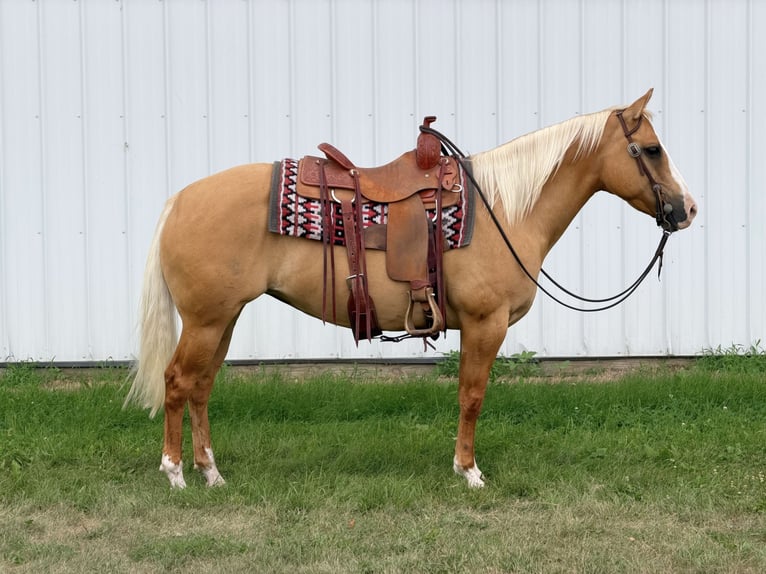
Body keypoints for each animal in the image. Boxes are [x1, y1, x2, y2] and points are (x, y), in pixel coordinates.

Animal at [125, 89, 697, 489]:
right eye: (652, 149)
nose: (688, 209)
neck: (505, 209)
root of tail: (179, 200)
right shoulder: (485, 324)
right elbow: (472, 395)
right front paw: (469, 472)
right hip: (206, 320)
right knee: (178, 382)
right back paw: (175, 473)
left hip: (223, 319)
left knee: (201, 387)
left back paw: (211, 473)